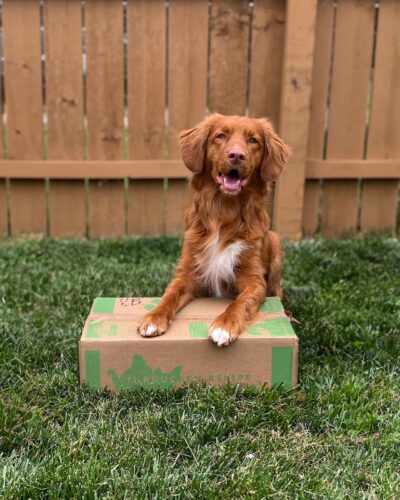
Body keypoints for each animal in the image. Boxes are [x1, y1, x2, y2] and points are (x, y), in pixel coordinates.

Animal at [137, 113, 288, 348]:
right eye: (221, 136)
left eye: (253, 141)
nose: (237, 155)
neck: (225, 211)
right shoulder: (188, 272)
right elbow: (169, 294)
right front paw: (154, 317)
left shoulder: (254, 281)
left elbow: (241, 302)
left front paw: (224, 325)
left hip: (274, 242)